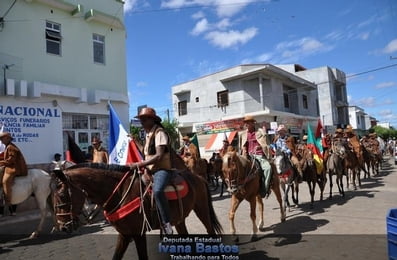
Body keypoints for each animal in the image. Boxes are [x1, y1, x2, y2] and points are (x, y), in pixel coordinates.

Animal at [51, 162, 223, 260]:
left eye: (62, 195)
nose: (63, 227)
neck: (119, 192)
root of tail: (199, 177)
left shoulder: (138, 233)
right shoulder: (124, 234)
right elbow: (116, 257)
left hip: (202, 210)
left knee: (211, 231)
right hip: (179, 219)